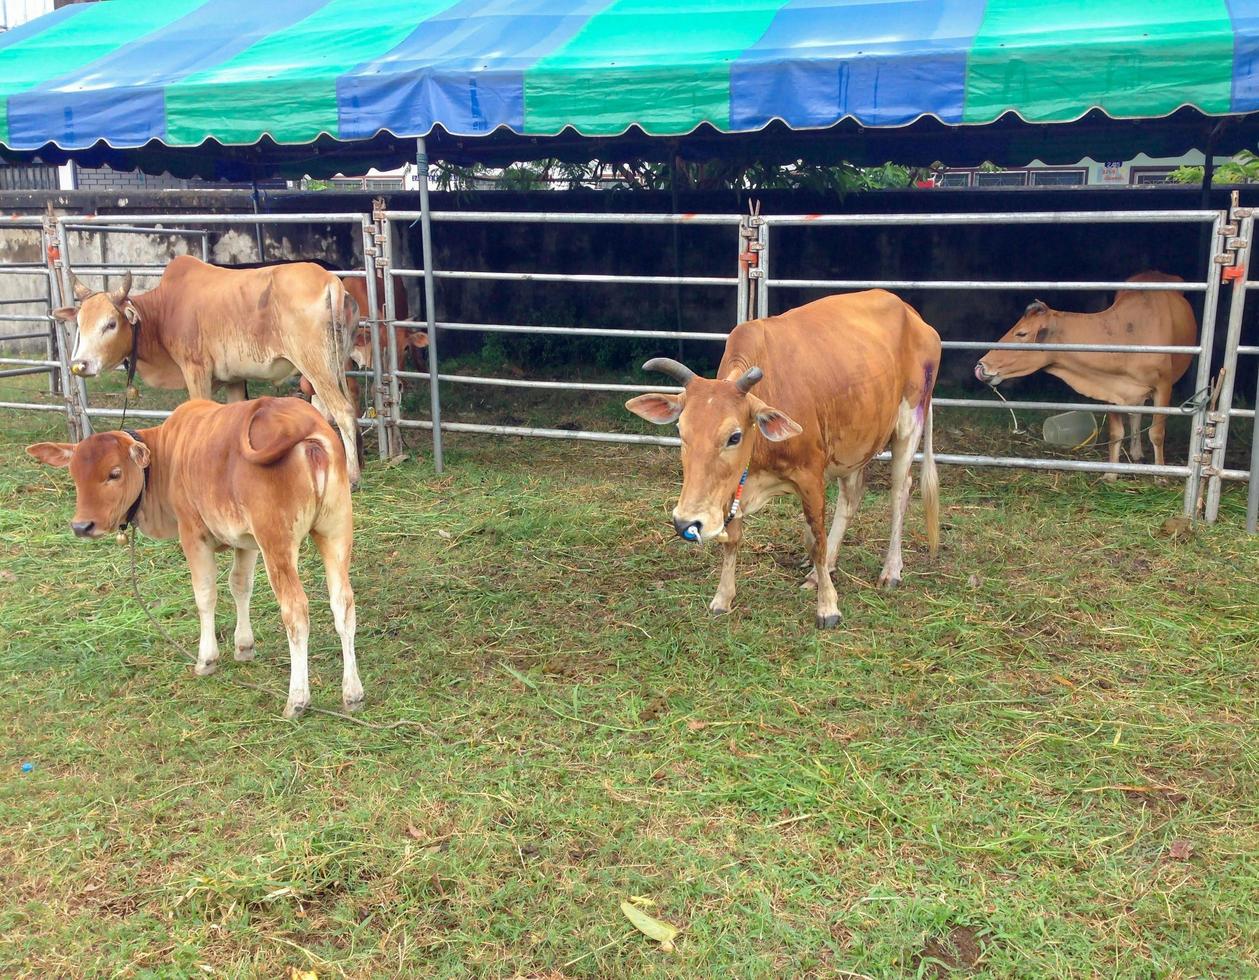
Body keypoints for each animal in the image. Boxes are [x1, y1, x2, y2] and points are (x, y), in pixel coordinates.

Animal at [28, 393, 360, 715]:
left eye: (114, 473)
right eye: (74, 475)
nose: (82, 526)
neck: (168, 455)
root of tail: (302, 424)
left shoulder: (193, 535)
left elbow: (205, 594)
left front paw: (206, 659)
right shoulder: (246, 541)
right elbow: (240, 585)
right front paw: (244, 646)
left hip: (277, 542)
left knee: (296, 612)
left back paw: (297, 698)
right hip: (335, 530)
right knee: (342, 603)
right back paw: (352, 693)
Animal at [56, 251, 362, 481]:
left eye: (110, 323)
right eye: (79, 324)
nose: (80, 365)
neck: (164, 310)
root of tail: (329, 280)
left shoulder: (195, 369)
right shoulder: (235, 378)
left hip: (316, 365)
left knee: (343, 410)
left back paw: (352, 475)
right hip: (335, 366)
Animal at [624, 289, 941, 627]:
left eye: (734, 437)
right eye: (681, 431)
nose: (686, 522)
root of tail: (910, 312)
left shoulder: (811, 476)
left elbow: (816, 540)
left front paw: (828, 606)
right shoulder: (730, 486)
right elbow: (732, 538)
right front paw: (723, 598)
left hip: (909, 422)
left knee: (900, 491)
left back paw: (890, 570)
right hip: (854, 442)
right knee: (851, 496)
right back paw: (824, 570)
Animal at [971, 270, 1198, 476]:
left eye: (1021, 333)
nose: (981, 365)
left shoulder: (1164, 386)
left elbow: (1157, 432)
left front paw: (1161, 475)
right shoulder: (1111, 388)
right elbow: (1116, 432)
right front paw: (1111, 474)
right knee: (1135, 414)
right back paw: (1136, 453)